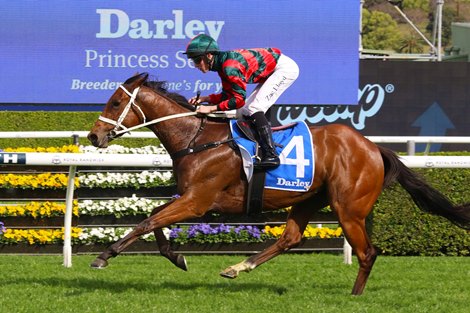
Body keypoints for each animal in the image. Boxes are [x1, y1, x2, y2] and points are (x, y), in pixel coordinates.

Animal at [88, 73, 470, 294]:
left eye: (117, 102)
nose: (94, 136)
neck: (197, 139)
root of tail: (373, 148)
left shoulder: (198, 201)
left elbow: (148, 221)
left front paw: (104, 256)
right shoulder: (192, 197)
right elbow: (154, 218)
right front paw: (177, 257)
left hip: (348, 208)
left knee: (367, 252)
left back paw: (354, 296)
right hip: (309, 199)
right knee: (291, 238)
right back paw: (237, 267)